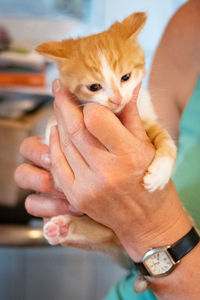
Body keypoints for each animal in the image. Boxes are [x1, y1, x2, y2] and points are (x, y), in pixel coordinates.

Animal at [36, 12, 177, 292]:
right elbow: (52, 127)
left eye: (125, 77)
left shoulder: (147, 118)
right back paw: (62, 228)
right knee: (103, 233)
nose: (116, 100)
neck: (117, 116)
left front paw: (158, 175)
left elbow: (168, 142)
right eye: (94, 87)